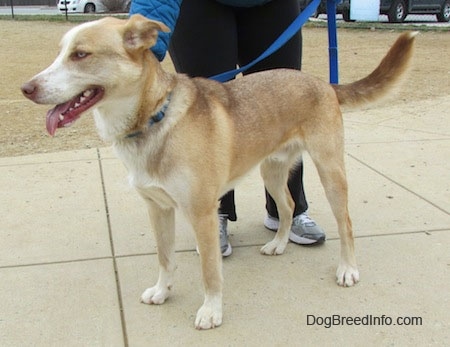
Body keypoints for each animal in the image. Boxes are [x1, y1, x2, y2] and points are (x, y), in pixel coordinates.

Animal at [20, 15, 414, 332]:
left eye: (80, 54)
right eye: (61, 52)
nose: (26, 88)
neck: (154, 117)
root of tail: (322, 82)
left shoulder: (201, 213)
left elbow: (210, 272)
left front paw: (211, 312)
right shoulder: (158, 208)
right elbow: (165, 258)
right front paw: (162, 291)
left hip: (330, 169)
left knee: (344, 222)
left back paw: (347, 269)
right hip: (271, 170)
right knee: (287, 206)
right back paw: (278, 244)